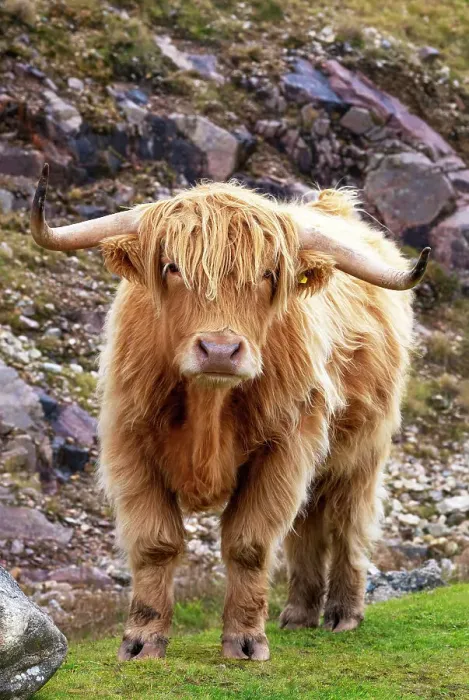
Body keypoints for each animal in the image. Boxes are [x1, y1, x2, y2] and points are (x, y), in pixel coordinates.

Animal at [30, 164, 429, 662]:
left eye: (269, 274)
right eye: (172, 267)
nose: (220, 350)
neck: (209, 406)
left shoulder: (284, 450)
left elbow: (249, 544)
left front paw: (244, 642)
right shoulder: (130, 443)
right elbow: (155, 543)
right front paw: (142, 642)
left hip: (360, 453)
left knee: (346, 524)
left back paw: (342, 614)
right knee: (307, 527)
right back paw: (298, 616)